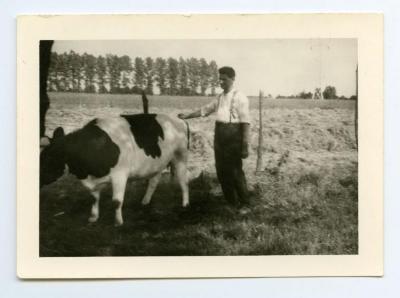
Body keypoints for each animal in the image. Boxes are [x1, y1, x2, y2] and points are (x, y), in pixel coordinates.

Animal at [39, 114, 190, 226]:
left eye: (49, 157)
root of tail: (179, 118)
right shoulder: (93, 179)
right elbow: (94, 197)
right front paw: (93, 217)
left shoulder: (120, 175)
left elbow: (116, 201)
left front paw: (118, 222)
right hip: (157, 163)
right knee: (154, 180)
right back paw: (145, 201)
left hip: (180, 156)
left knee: (183, 181)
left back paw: (185, 204)